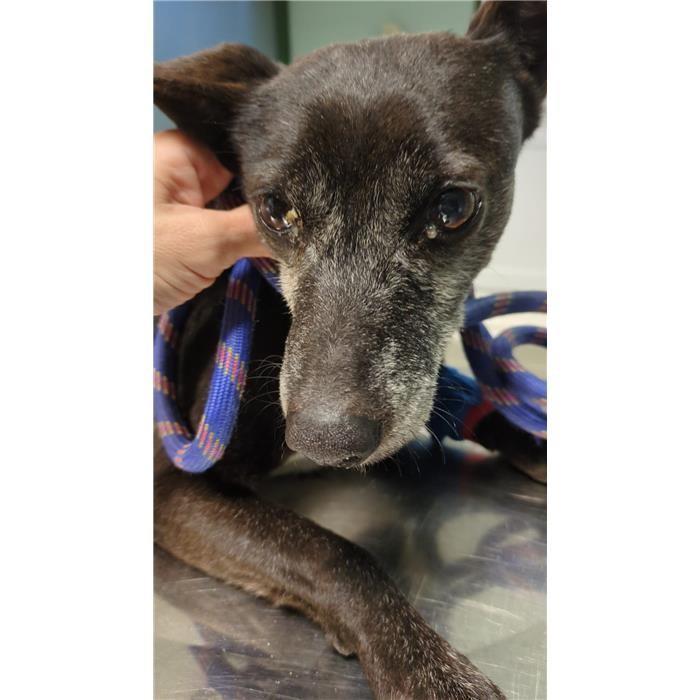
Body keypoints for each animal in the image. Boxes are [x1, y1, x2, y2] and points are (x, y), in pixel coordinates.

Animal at [154, 2, 546, 697]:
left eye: (453, 207)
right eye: (273, 209)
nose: (326, 439)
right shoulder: (172, 485)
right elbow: (333, 552)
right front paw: (426, 671)